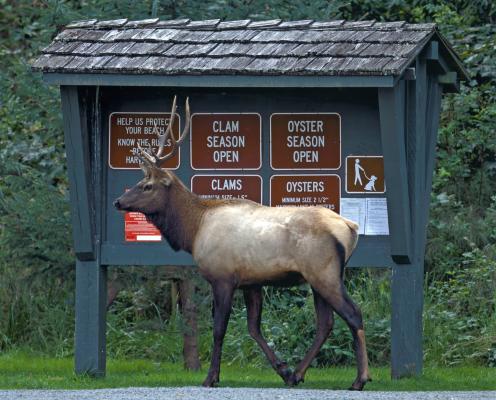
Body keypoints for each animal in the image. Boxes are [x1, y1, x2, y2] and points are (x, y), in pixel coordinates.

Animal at [114, 95, 372, 390]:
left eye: (147, 185)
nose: (118, 201)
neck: (194, 230)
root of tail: (350, 228)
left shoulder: (223, 277)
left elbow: (219, 329)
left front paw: (211, 377)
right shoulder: (252, 282)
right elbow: (253, 327)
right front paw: (283, 370)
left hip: (324, 272)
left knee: (353, 314)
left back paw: (360, 379)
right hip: (320, 277)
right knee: (325, 323)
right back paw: (298, 374)